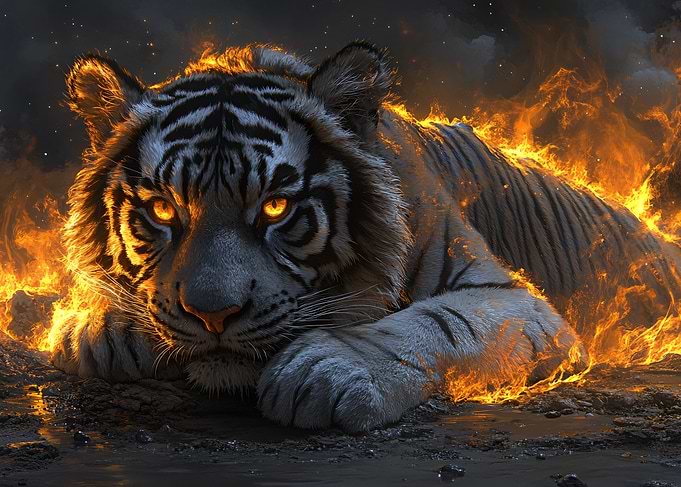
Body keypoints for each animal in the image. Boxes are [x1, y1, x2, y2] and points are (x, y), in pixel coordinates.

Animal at [51, 42, 681, 432]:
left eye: (276, 207)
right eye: (162, 208)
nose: (213, 316)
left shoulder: (514, 302)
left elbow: (439, 322)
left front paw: (330, 370)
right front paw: (103, 328)